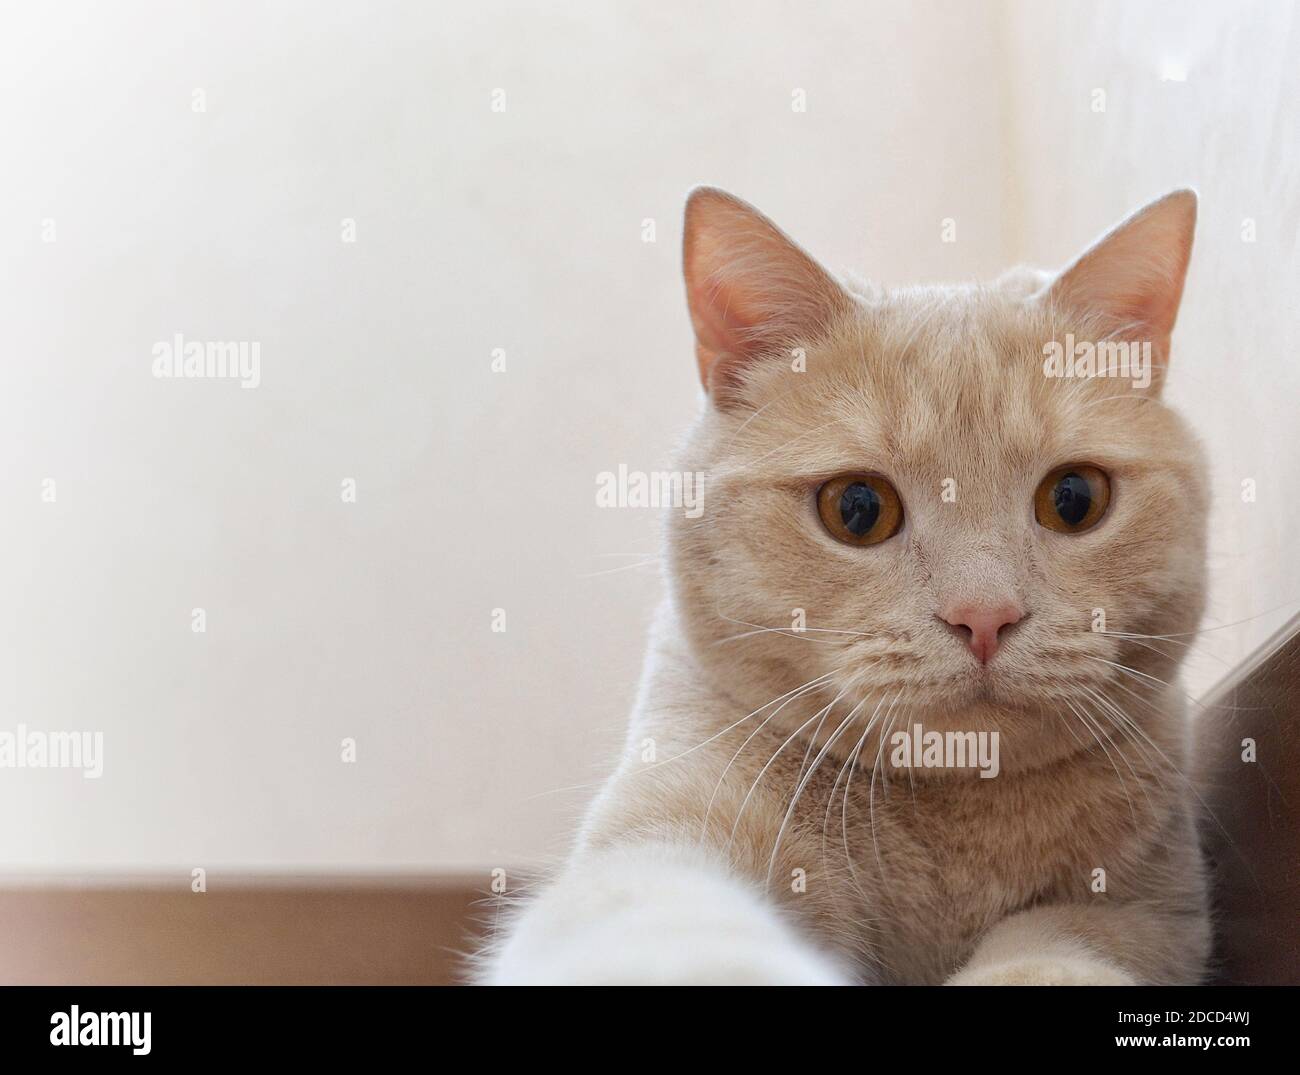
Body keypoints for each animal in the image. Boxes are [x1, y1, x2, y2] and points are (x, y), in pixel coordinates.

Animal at [483, 187, 1211, 982]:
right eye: (858, 509)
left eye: (1074, 499)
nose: (983, 616)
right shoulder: (665, 830)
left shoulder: (1146, 912)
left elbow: (1048, 953)